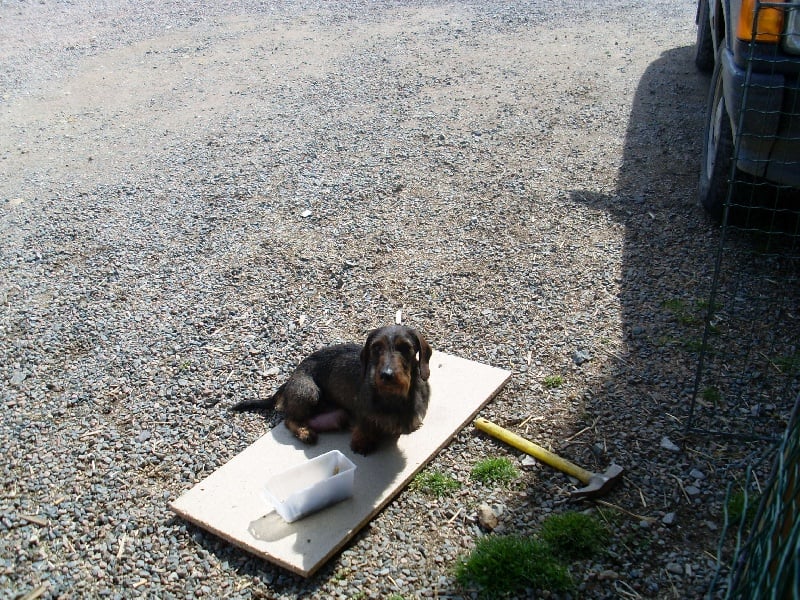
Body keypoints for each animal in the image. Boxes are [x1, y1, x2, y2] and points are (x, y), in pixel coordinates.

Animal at [231, 325, 432, 455]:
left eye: (405, 347)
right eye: (376, 347)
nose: (387, 375)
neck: (393, 397)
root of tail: (291, 377)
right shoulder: (361, 413)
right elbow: (364, 427)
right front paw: (362, 442)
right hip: (309, 392)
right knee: (289, 420)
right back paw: (304, 433)